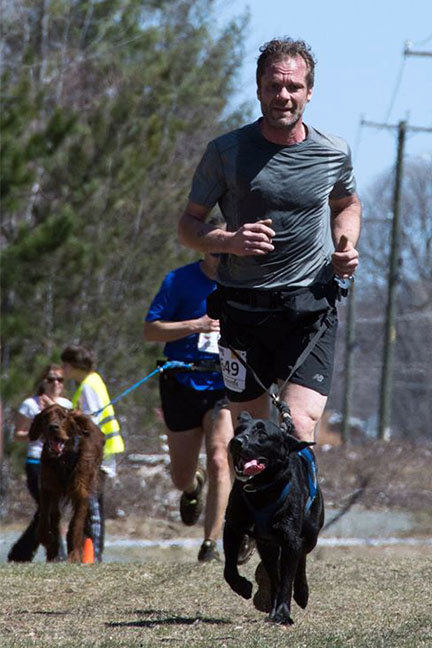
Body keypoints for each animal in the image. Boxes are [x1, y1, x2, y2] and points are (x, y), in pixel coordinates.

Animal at [28, 404, 104, 560]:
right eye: (45, 416)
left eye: (63, 417)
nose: (53, 427)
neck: (63, 459)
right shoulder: (48, 487)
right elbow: (44, 516)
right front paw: (47, 539)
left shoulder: (82, 491)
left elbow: (75, 524)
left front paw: (75, 553)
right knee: (54, 516)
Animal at [224, 412, 322, 624]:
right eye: (238, 429)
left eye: (262, 433)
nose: (236, 441)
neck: (261, 490)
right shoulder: (232, 527)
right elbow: (229, 569)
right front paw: (242, 586)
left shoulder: (290, 539)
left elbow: (287, 580)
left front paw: (283, 613)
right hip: (266, 546)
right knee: (274, 574)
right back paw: (272, 608)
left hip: (311, 534)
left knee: (301, 558)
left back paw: (301, 593)